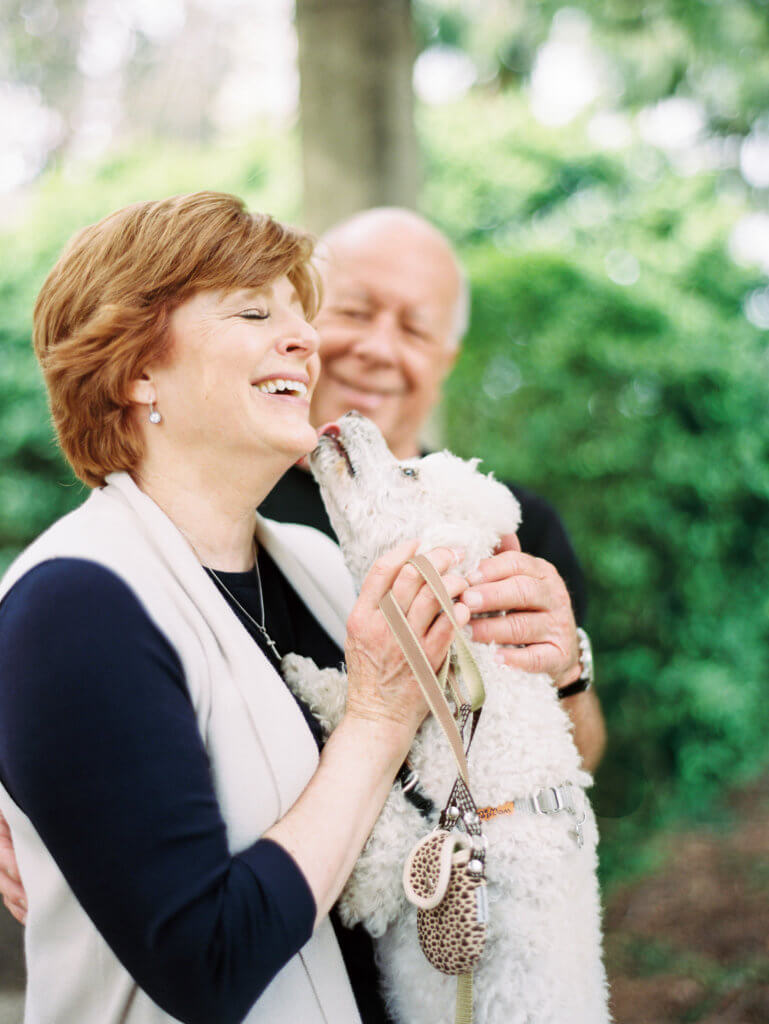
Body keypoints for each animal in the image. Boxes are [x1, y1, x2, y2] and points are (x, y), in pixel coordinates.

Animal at [280, 411, 610, 1024]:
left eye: (409, 473)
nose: (353, 416)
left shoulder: (400, 869)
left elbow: (383, 822)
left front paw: (311, 683)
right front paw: (322, 683)